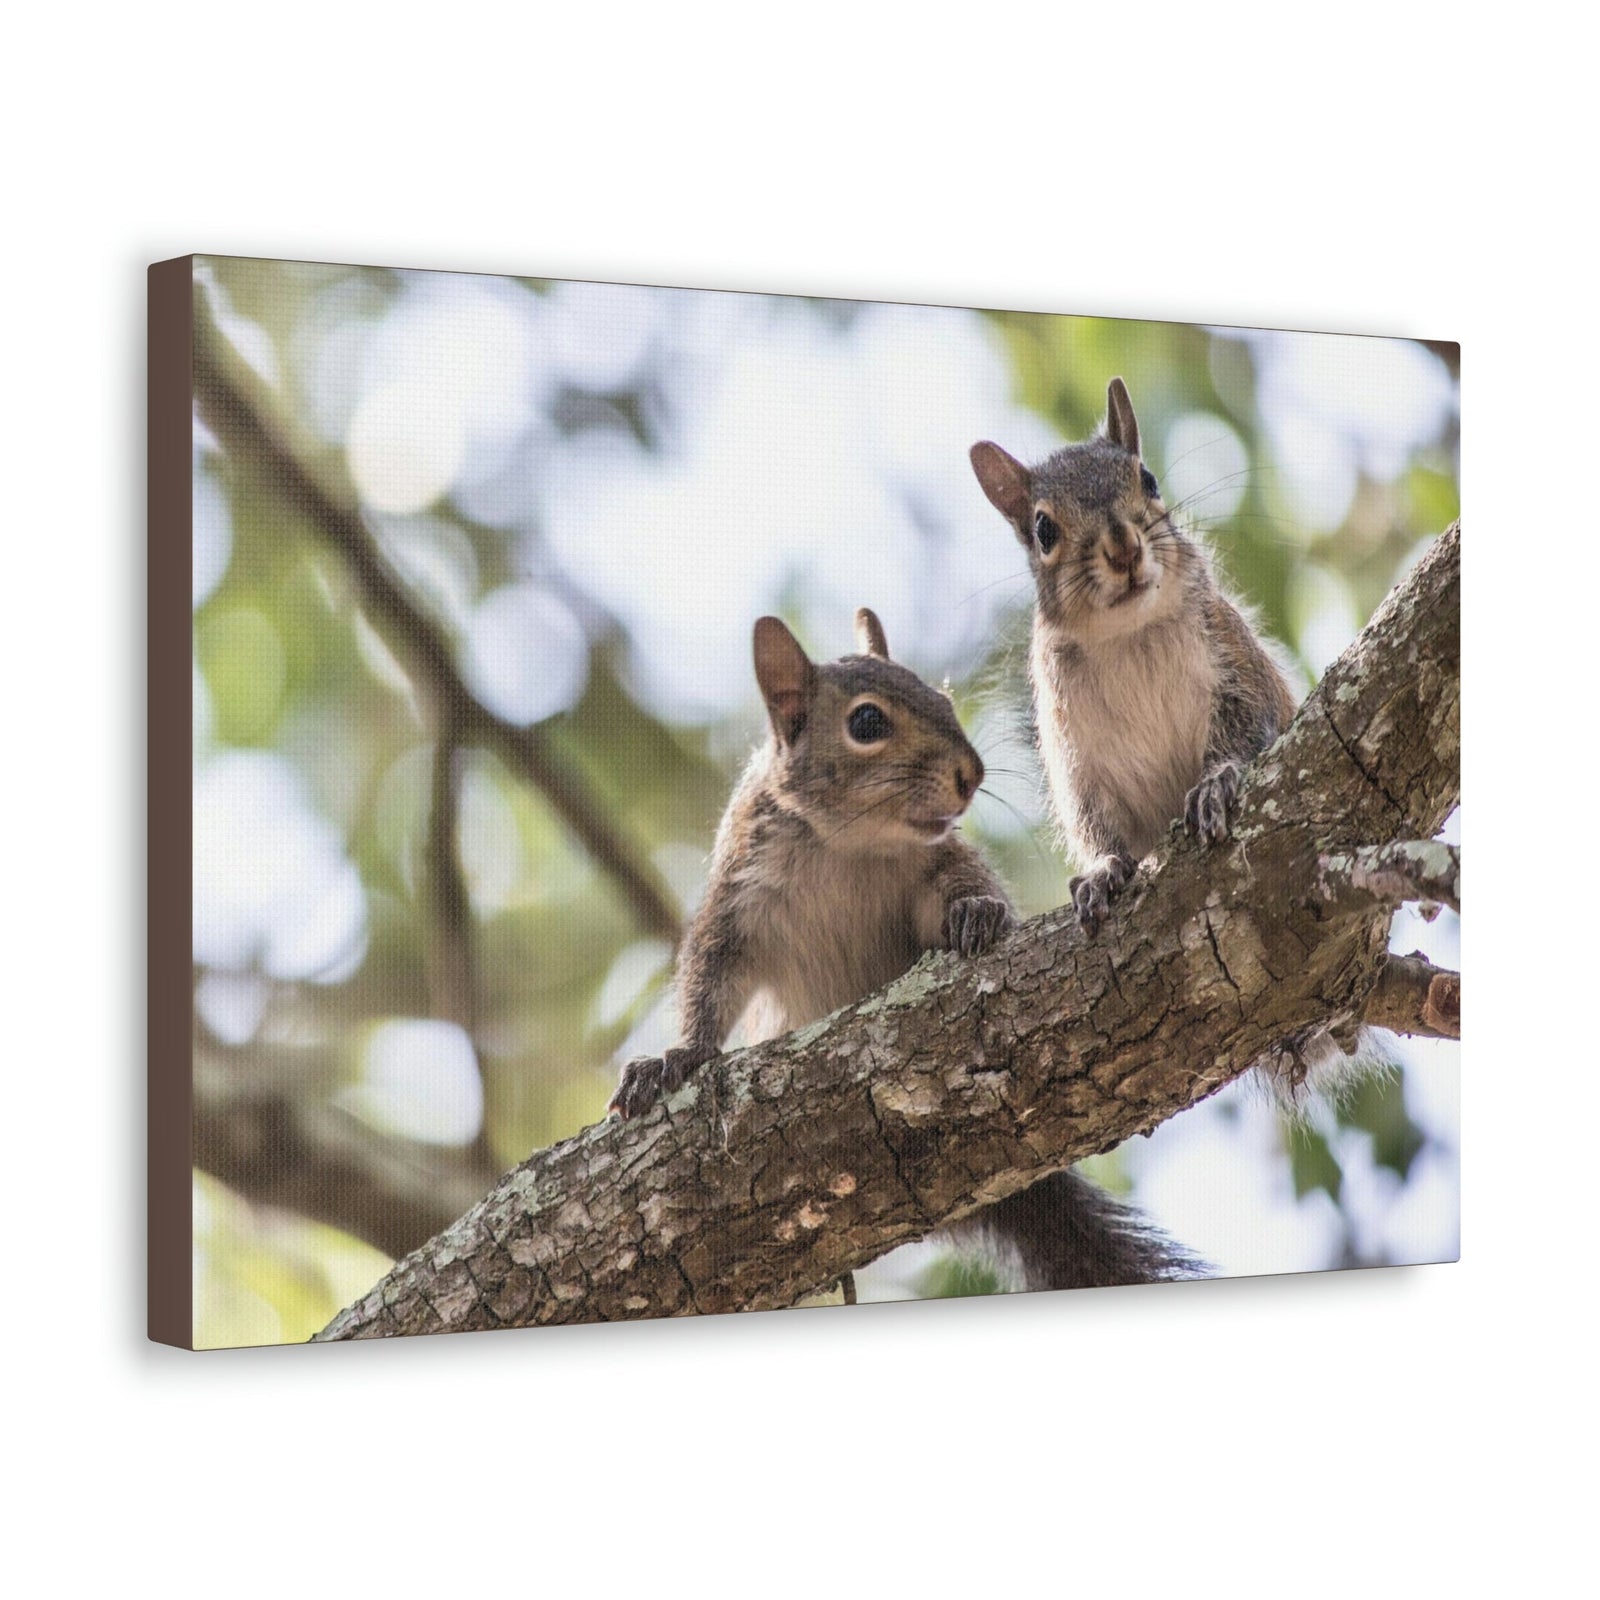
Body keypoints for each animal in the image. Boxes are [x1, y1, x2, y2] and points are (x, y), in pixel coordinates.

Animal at [610, 607, 1203, 1293]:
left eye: (942, 699)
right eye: (867, 723)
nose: (971, 775)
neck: (847, 846)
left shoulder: (933, 864)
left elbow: (958, 889)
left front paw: (976, 912)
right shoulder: (738, 897)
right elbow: (709, 976)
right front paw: (677, 1057)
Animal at [970, 377, 1372, 1103]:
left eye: (1148, 479)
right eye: (1043, 530)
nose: (1124, 547)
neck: (1126, 633)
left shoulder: (1235, 665)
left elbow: (1246, 731)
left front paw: (1214, 785)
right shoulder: (1074, 756)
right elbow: (1093, 820)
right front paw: (1102, 873)